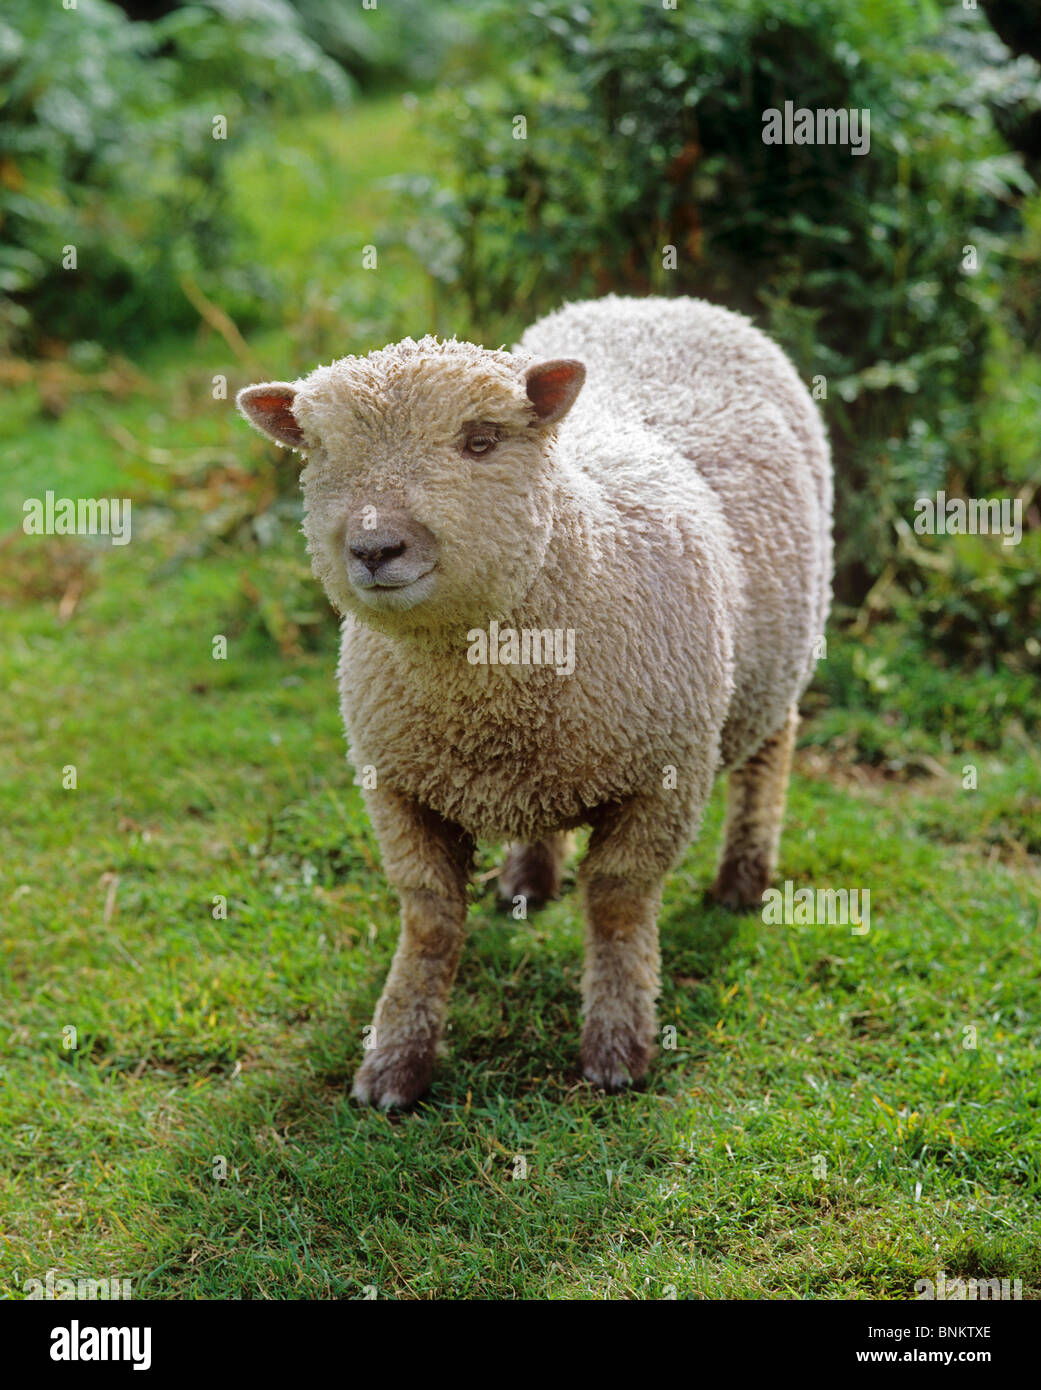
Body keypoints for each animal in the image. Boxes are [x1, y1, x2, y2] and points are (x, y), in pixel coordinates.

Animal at [239, 293, 833, 1106]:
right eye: (320, 452)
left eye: (481, 441)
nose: (374, 549)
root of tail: (657, 301)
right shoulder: (394, 786)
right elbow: (429, 919)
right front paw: (393, 1063)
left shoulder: (665, 779)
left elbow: (617, 904)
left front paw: (617, 1048)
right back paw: (527, 878)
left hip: (777, 655)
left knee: (771, 751)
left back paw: (741, 879)